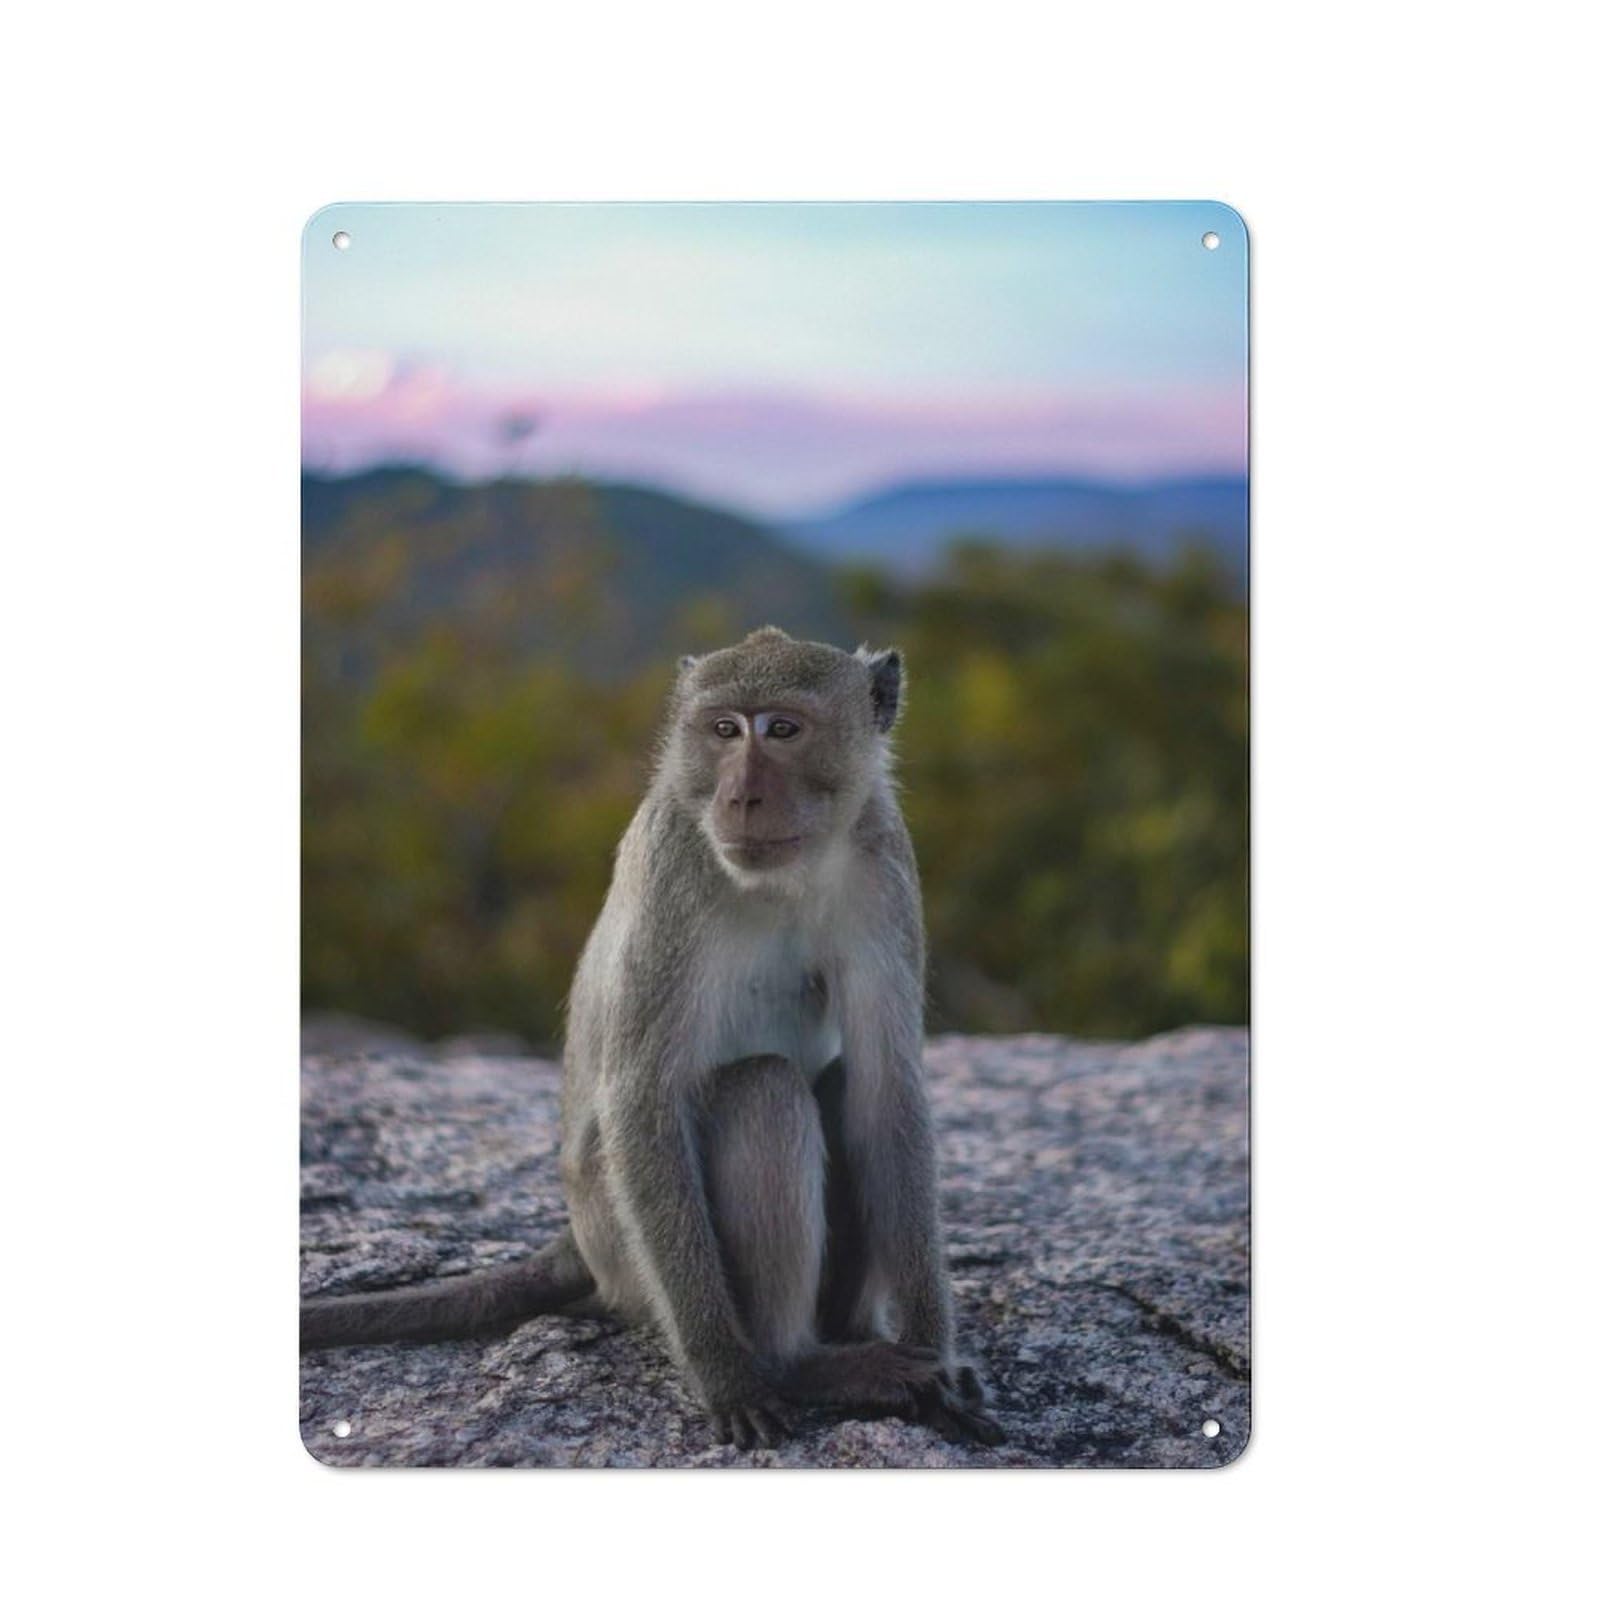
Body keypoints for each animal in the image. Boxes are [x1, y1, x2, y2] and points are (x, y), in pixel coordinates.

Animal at [302, 626, 1002, 1450]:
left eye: (783, 729)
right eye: (725, 729)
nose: (740, 795)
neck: (784, 878)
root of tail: (579, 1239)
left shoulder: (882, 861)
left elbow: (886, 1089)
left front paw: (938, 1360)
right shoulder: (675, 864)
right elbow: (642, 1099)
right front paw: (726, 1374)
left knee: (833, 1083)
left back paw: (853, 1338)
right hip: (625, 1245)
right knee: (763, 1089)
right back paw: (800, 1363)